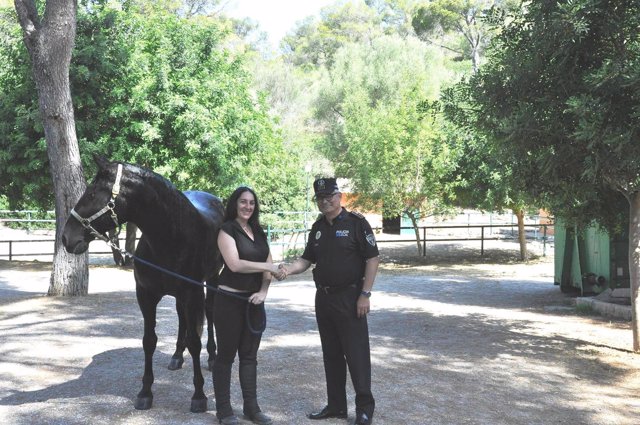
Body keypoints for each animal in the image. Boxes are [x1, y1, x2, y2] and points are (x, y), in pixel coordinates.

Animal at [62, 156, 222, 410]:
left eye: (92, 193)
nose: (67, 237)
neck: (171, 239)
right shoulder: (146, 295)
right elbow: (149, 341)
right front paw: (145, 392)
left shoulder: (192, 293)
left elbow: (195, 341)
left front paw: (199, 396)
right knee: (181, 318)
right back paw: (177, 356)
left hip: (212, 281)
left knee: (210, 312)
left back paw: (213, 357)